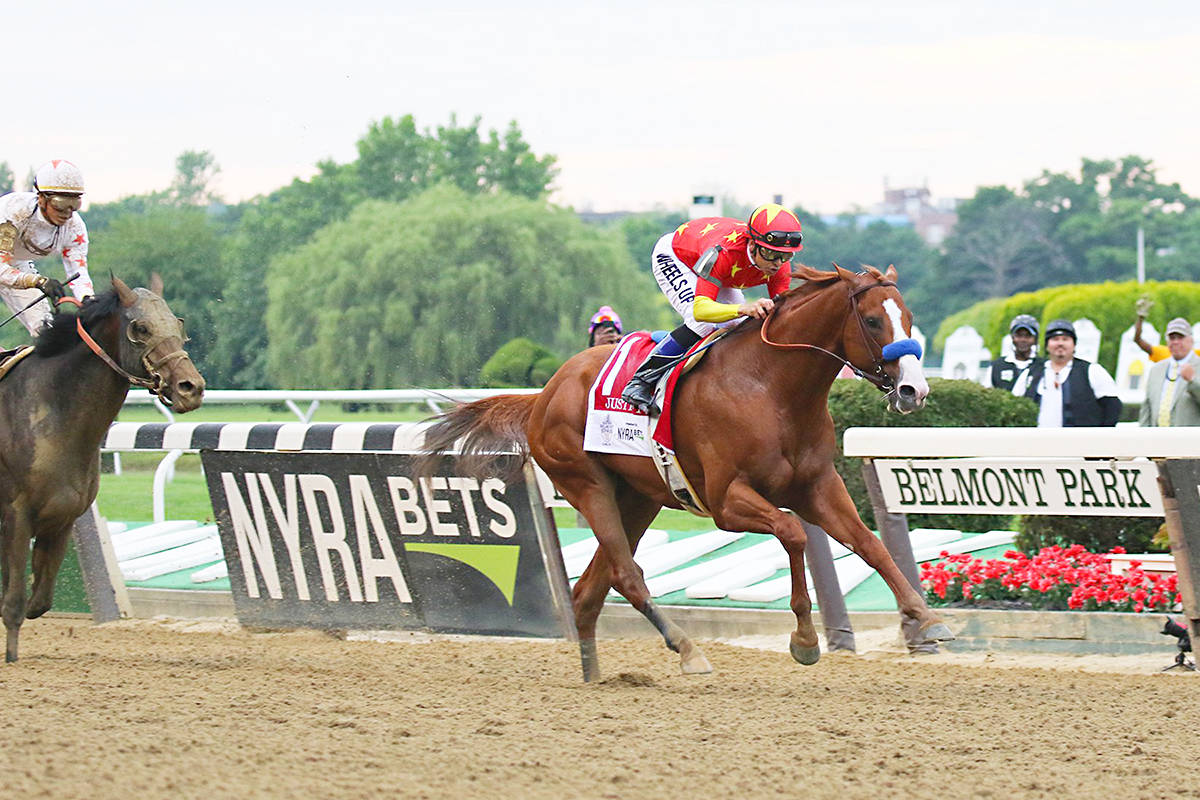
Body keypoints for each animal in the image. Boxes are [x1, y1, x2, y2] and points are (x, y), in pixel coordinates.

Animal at [0, 277, 204, 662]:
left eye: (178, 324)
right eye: (141, 328)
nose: (192, 387)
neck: (50, 410)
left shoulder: (62, 518)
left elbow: (39, 601)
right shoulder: (16, 516)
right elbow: (14, 603)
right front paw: (12, 656)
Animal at [422, 266, 955, 681]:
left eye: (909, 320)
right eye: (872, 320)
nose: (914, 390)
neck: (770, 387)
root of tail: (543, 394)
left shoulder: (817, 486)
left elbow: (869, 544)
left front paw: (927, 618)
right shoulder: (726, 501)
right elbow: (793, 534)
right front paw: (804, 639)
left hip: (639, 498)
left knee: (589, 589)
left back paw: (594, 674)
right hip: (586, 484)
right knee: (626, 575)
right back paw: (688, 650)